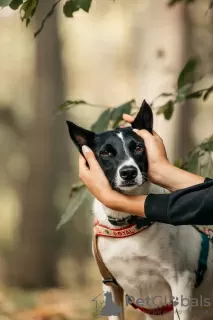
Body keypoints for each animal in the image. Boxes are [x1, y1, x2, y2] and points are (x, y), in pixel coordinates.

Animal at [67, 102, 213, 320]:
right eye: (106, 153)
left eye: (138, 147)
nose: (128, 172)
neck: (127, 223)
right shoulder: (110, 286)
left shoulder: (181, 282)